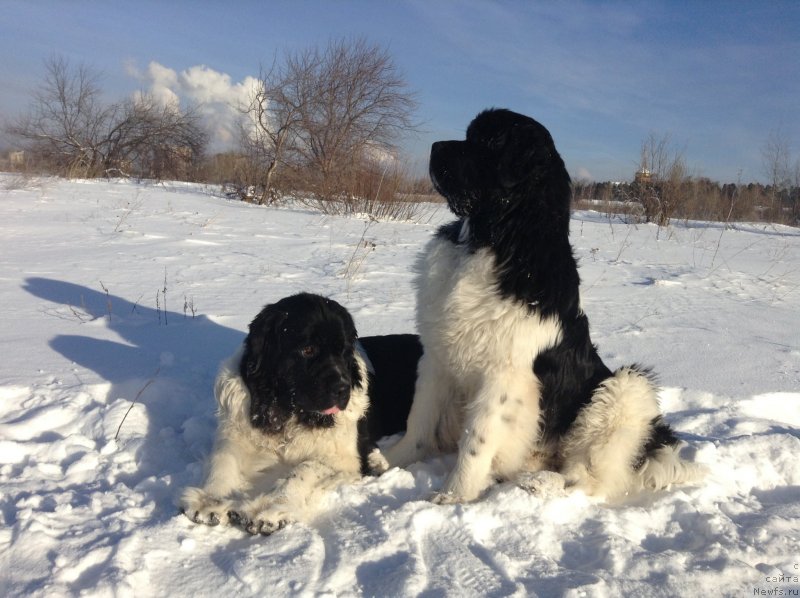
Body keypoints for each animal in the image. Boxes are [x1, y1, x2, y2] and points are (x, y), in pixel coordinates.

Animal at [180, 292, 418, 536]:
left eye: (343, 350)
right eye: (308, 350)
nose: (343, 389)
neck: (288, 410)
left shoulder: (342, 457)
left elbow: (301, 471)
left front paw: (268, 510)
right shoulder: (236, 430)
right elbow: (224, 459)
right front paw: (209, 501)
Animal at [384, 109, 704, 506]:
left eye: (489, 141)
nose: (434, 146)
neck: (498, 241)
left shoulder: (503, 375)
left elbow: (476, 440)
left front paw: (453, 496)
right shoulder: (437, 358)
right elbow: (419, 420)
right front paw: (389, 461)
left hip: (625, 388)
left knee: (587, 479)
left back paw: (540, 483)